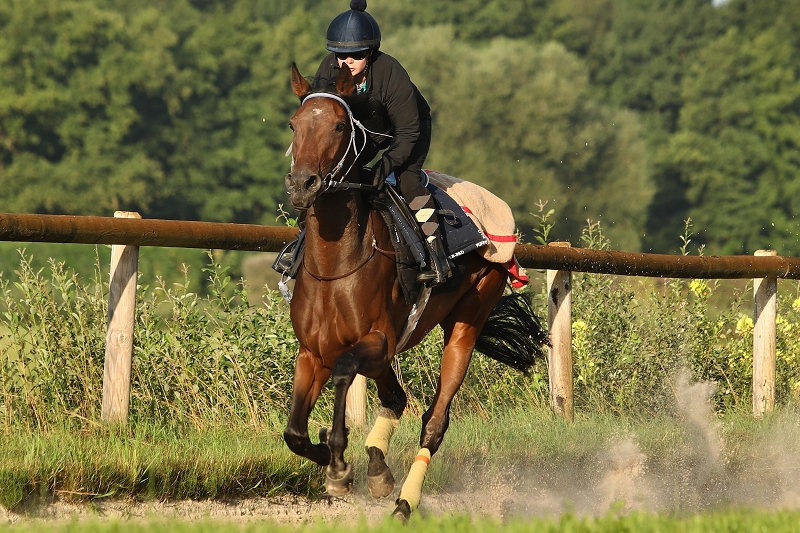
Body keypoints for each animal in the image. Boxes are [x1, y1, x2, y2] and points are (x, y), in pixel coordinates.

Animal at [282, 62, 548, 522]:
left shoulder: (377, 342)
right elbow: (294, 432)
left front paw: (338, 463)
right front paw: (333, 458)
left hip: (467, 322)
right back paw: (377, 468)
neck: (336, 265)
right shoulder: (312, 352)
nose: (303, 184)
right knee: (396, 396)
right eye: (295, 124)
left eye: (339, 126)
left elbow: (344, 372)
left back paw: (405, 500)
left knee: (434, 421)